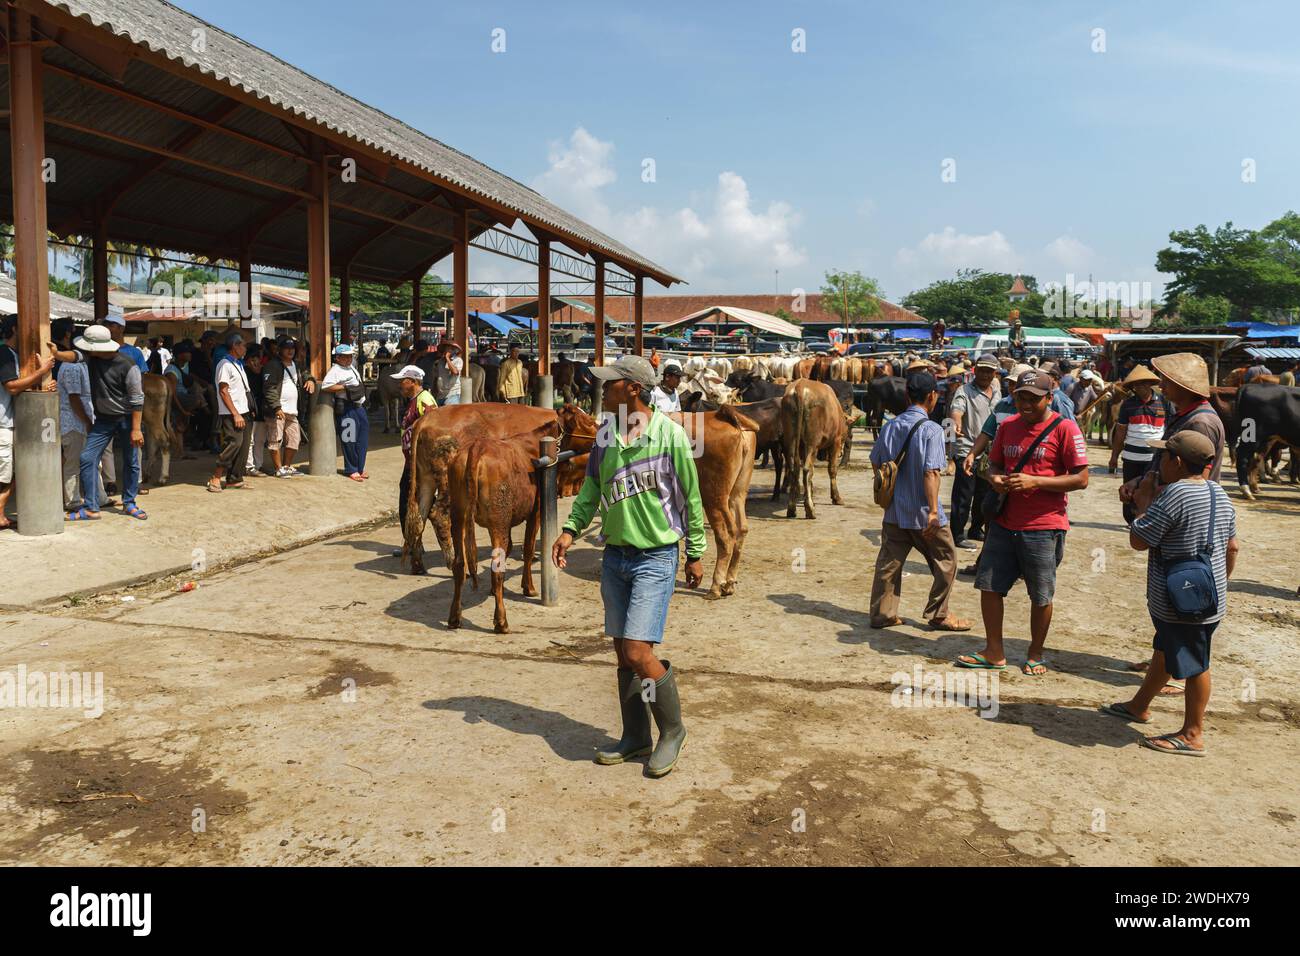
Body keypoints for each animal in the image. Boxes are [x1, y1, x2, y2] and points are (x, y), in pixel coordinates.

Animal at [397, 403, 556, 572]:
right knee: (439, 514)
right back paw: (453, 562)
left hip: (426, 479)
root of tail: (425, 419)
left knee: (419, 517)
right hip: (448, 483)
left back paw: (418, 565)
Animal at [780, 379, 852, 520]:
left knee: (794, 469)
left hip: (791, 439)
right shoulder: (835, 442)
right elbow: (832, 470)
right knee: (807, 469)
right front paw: (836, 498)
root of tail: (800, 386)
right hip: (812, 442)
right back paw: (810, 510)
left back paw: (792, 508)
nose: (841, 453)